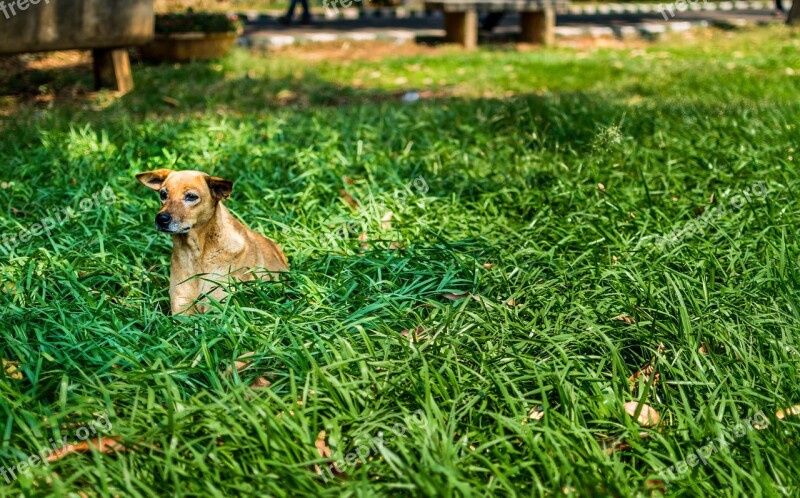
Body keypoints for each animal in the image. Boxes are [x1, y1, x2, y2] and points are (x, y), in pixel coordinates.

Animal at [136, 169, 290, 314]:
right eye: (163, 194)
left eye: (191, 196)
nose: (161, 219)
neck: (197, 254)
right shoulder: (181, 308)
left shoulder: (218, 307)